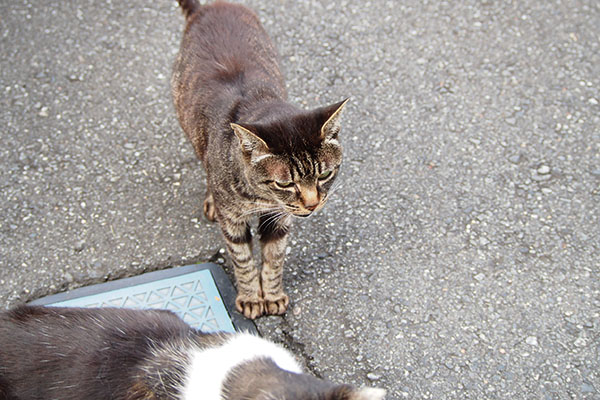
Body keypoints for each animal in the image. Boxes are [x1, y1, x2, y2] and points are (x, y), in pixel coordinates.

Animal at [171, 0, 346, 318]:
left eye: (325, 175)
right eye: (285, 183)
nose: (313, 204)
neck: (260, 198)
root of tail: (210, 7)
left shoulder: (281, 219)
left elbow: (274, 258)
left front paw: (272, 295)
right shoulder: (233, 221)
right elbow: (242, 259)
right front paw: (253, 298)